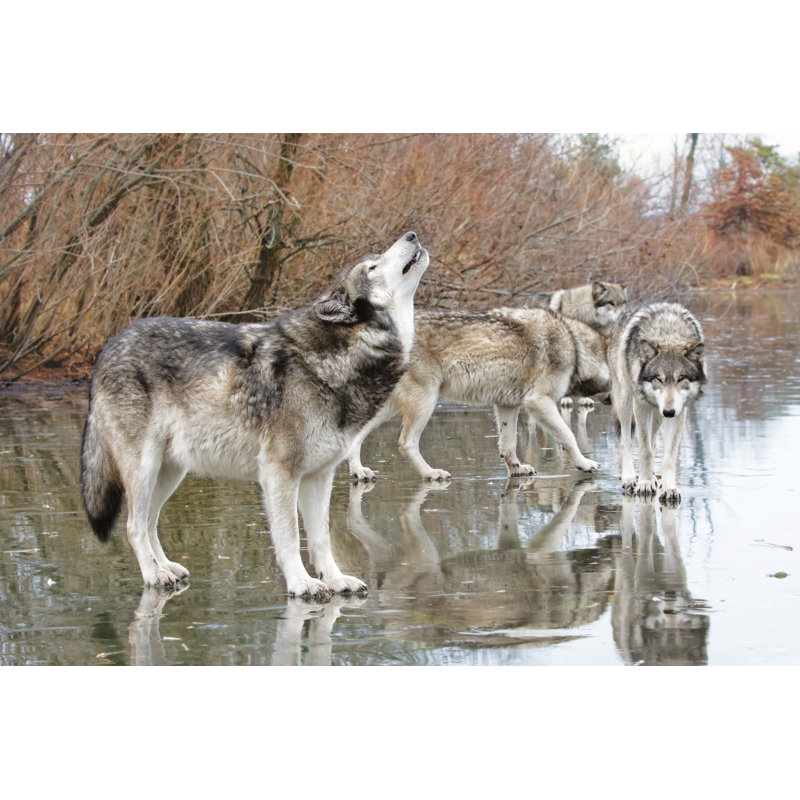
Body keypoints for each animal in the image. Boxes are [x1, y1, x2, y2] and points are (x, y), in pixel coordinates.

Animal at [80, 232, 429, 598]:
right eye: (373, 266)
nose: (412, 235)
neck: (342, 356)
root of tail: (107, 347)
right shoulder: (279, 474)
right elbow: (289, 537)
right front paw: (301, 583)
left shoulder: (320, 476)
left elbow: (321, 539)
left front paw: (335, 580)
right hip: (145, 469)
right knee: (134, 525)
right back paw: (153, 575)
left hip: (171, 472)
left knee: (150, 522)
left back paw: (167, 568)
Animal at [347, 306, 611, 482]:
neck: (575, 347)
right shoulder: (538, 402)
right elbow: (569, 436)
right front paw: (585, 463)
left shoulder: (507, 405)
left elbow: (508, 445)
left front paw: (516, 469)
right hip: (425, 401)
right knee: (406, 443)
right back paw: (431, 473)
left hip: (389, 407)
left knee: (357, 436)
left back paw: (359, 471)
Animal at [607, 302, 707, 503]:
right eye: (658, 379)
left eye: (681, 378)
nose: (668, 412)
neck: (668, 336)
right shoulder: (642, 405)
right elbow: (645, 450)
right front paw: (645, 484)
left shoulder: (679, 411)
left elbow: (668, 455)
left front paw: (669, 488)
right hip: (626, 401)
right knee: (625, 441)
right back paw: (630, 478)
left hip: (657, 415)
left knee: (653, 442)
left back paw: (653, 477)